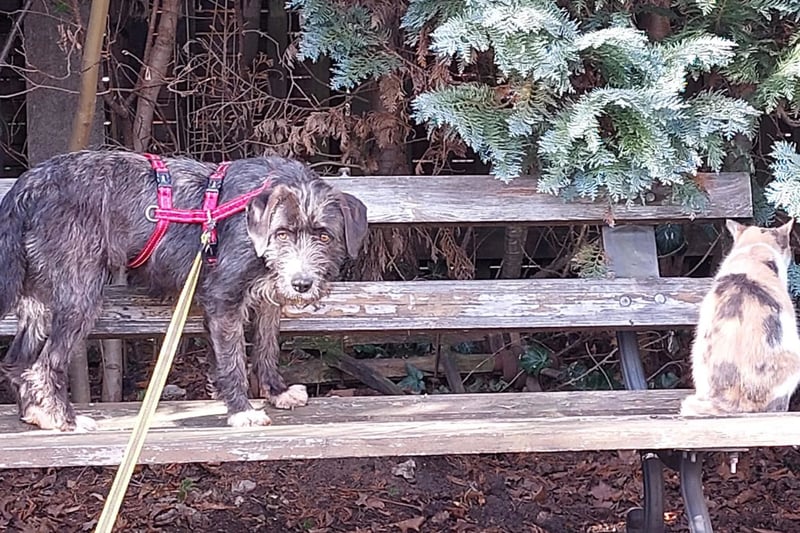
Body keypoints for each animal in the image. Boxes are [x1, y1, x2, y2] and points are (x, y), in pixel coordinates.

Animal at [0, 150, 368, 431]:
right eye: (281, 234)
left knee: (18, 362)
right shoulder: (223, 301)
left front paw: (276, 391)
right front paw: (242, 410)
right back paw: (65, 419)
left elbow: (266, 347)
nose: (302, 284)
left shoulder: (268, 301)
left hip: (38, 301)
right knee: (45, 364)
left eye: (324, 236)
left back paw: (36, 413)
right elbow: (233, 359)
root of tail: (26, 186)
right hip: (80, 295)